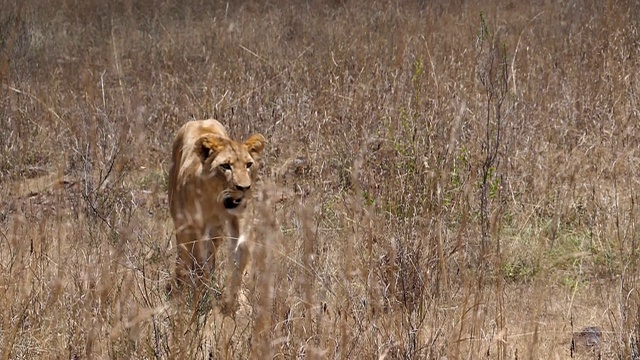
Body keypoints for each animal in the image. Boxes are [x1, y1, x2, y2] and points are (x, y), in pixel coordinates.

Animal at [168, 119, 264, 310]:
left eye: (248, 165)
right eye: (225, 166)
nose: (244, 188)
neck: (215, 199)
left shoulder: (234, 221)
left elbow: (240, 256)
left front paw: (239, 304)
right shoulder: (194, 226)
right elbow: (197, 260)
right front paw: (196, 296)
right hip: (180, 220)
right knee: (184, 255)